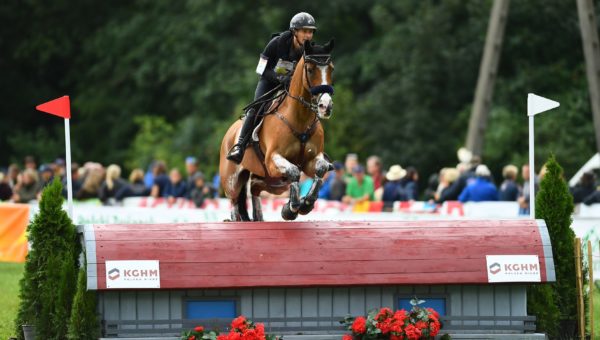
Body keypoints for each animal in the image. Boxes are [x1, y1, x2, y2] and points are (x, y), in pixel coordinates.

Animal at [219, 39, 336, 222]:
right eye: (310, 70)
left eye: (331, 69)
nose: (326, 106)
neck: (300, 118)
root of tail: (228, 134)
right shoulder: (273, 159)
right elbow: (294, 171)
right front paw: (291, 208)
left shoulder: (312, 160)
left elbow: (320, 169)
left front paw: (306, 204)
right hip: (233, 181)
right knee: (234, 201)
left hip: (273, 181)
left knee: (254, 188)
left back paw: (259, 216)